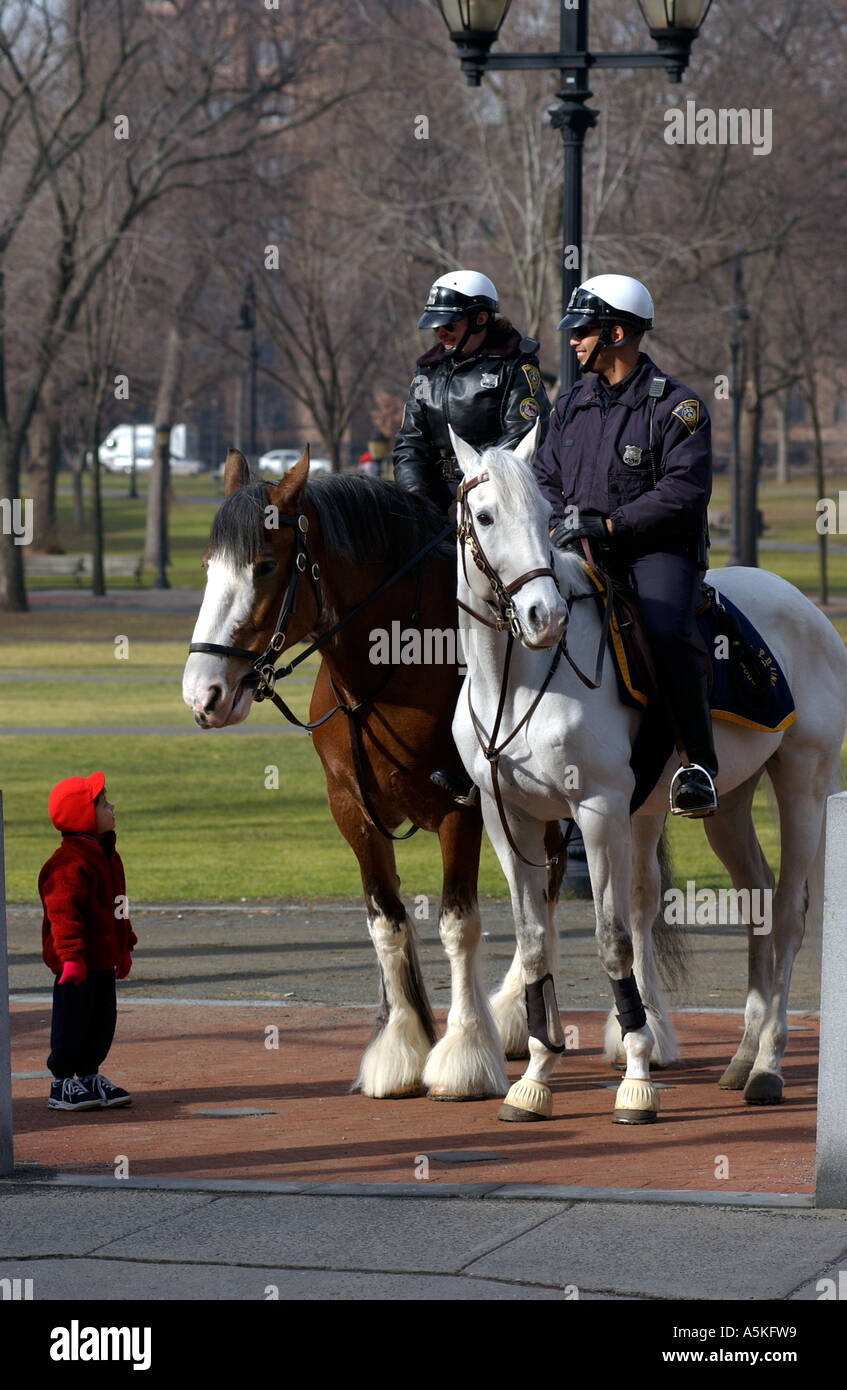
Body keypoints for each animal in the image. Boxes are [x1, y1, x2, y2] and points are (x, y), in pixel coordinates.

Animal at [182, 447, 519, 1102]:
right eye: (210, 566)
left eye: (265, 565)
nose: (203, 693)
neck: (394, 666)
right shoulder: (352, 813)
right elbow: (387, 924)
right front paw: (401, 1049)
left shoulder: (460, 809)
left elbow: (457, 923)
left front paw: (464, 1054)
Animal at [448, 425, 847, 1123]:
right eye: (487, 516)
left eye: (546, 516)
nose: (545, 616)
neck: (516, 680)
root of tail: (808, 607)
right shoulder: (510, 818)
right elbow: (534, 943)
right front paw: (536, 1078)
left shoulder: (600, 810)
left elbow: (614, 939)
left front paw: (636, 1074)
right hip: (730, 804)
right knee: (759, 901)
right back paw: (742, 1056)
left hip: (804, 785)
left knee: (791, 916)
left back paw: (768, 1066)